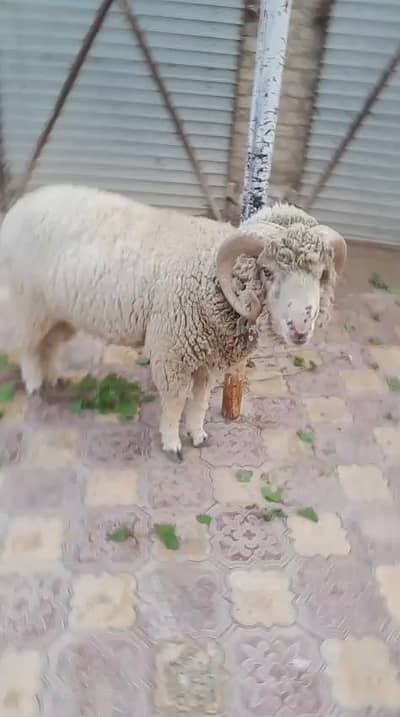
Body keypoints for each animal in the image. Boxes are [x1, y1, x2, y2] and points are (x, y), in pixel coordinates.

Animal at [0, 184, 346, 459]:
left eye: (321, 274)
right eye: (268, 271)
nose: (300, 329)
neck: (211, 277)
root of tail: (20, 205)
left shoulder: (209, 357)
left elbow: (200, 401)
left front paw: (197, 435)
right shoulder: (173, 351)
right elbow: (176, 401)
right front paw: (171, 443)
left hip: (59, 311)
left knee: (49, 345)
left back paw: (54, 378)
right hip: (28, 301)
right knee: (28, 346)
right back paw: (35, 384)